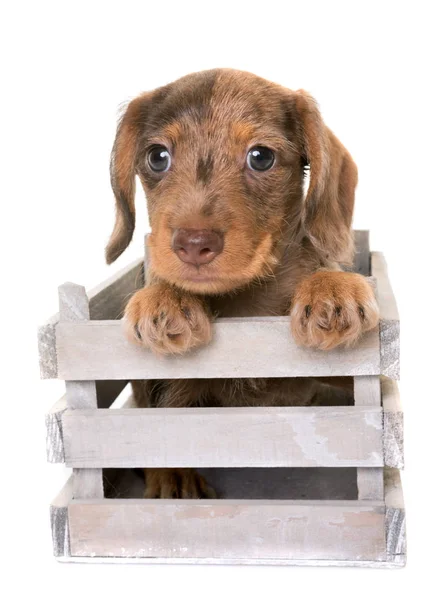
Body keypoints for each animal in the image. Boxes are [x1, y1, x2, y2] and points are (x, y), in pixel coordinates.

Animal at [106, 68, 378, 500]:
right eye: (157, 157)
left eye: (261, 156)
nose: (193, 244)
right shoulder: (163, 391)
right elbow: (158, 430)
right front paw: (163, 297)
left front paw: (332, 288)